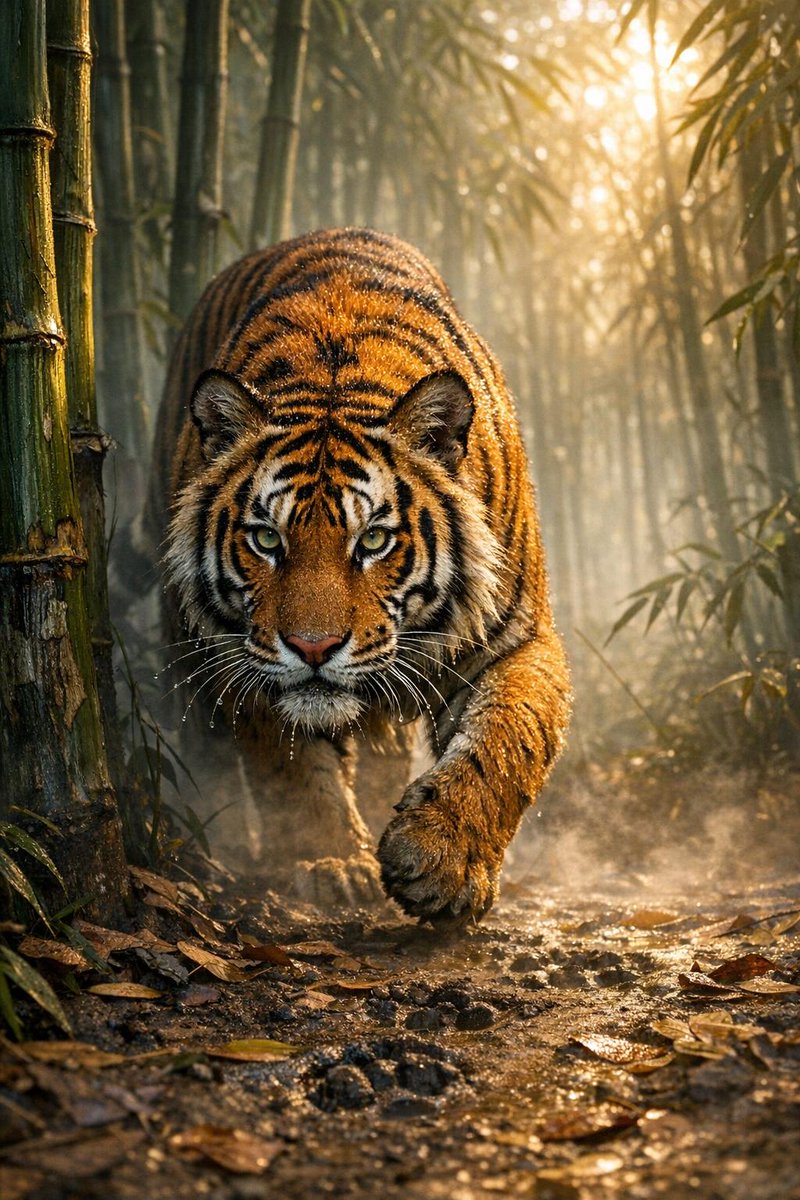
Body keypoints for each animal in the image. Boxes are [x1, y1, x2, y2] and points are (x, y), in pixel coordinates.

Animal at [147, 227, 571, 925]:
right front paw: (330, 863)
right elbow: (288, 765)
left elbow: (505, 743)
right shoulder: (236, 650)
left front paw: (442, 859)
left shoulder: (516, 636)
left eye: (372, 539)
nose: (312, 647)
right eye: (267, 539)